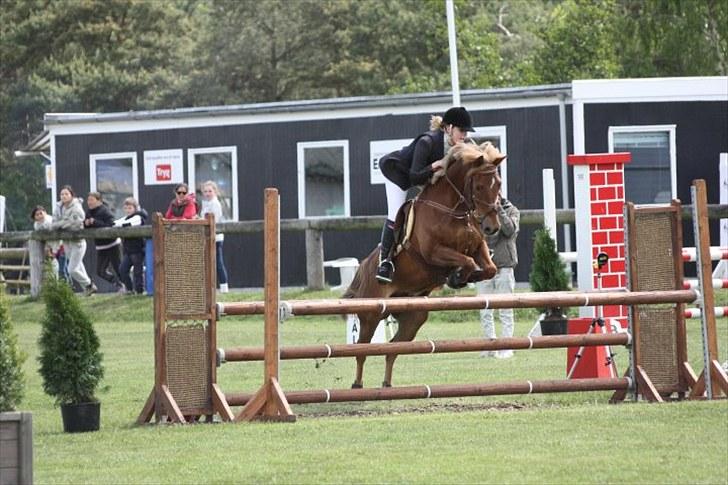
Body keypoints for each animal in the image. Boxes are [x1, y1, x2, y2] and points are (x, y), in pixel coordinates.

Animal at [342, 140, 506, 386]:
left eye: (498, 185)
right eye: (478, 187)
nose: (492, 227)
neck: (454, 211)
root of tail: (365, 266)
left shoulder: (478, 247)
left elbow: (489, 269)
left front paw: (461, 278)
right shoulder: (433, 253)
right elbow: (466, 261)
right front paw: (457, 277)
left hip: (414, 317)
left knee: (392, 349)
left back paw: (387, 385)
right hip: (371, 314)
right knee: (362, 349)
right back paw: (357, 385)